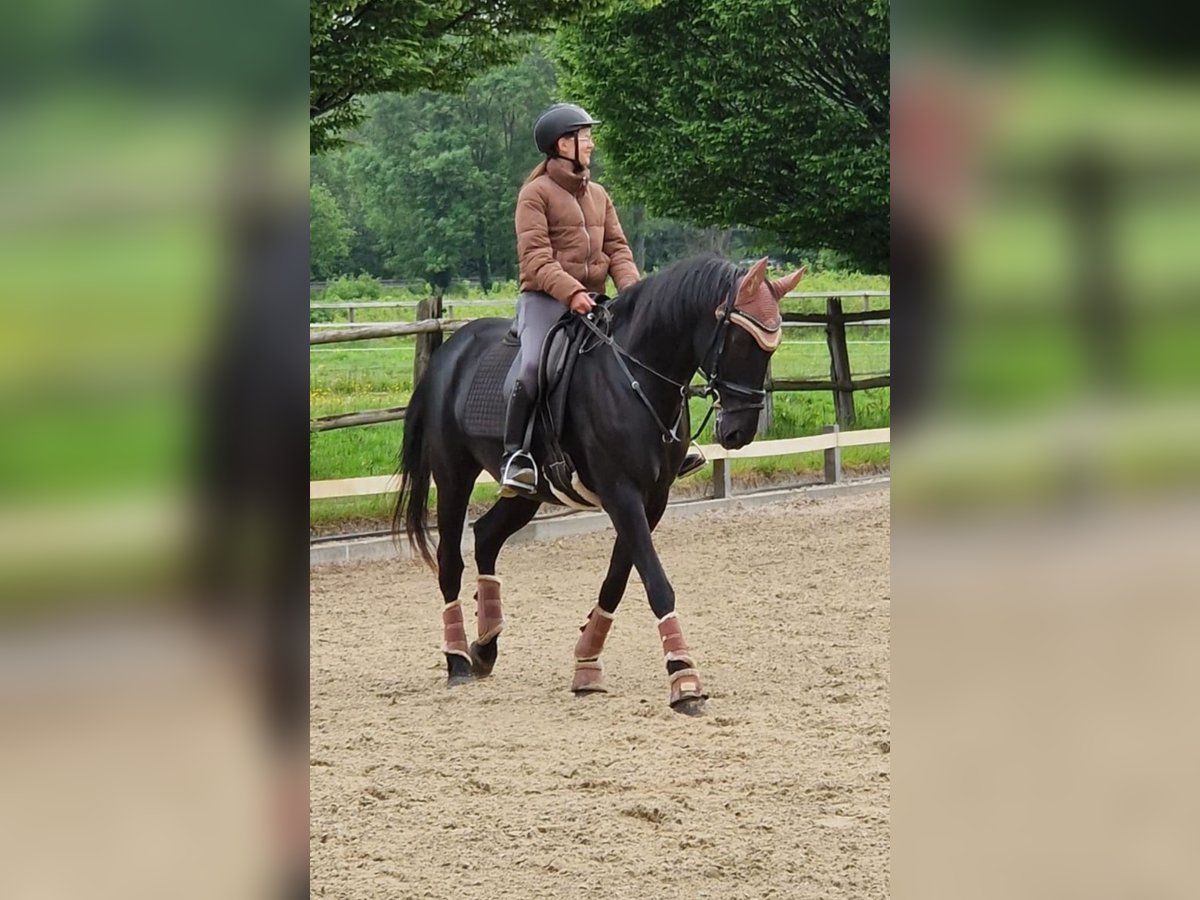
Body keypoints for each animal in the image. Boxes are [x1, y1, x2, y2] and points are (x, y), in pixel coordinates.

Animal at [393, 255, 806, 714]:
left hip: (530, 494)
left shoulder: (651, 499)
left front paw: (586, 664)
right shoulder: (621, 494)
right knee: (451, 559)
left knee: (485, 536)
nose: (738, 432)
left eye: (771, 346)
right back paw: (458, 661)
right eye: (738, 340)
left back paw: (485, 647)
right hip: (453, 475)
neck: (637, 376)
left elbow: (618, 580)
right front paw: (684, 679)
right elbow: (656, 583)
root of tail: (449, 353)